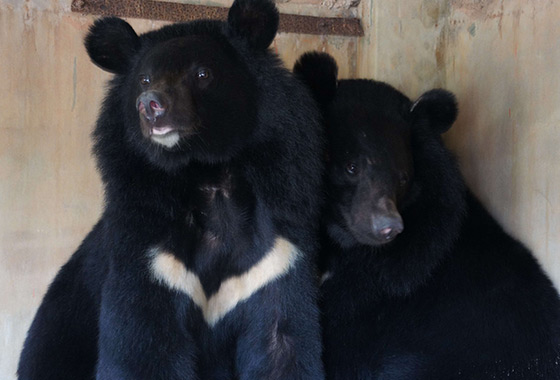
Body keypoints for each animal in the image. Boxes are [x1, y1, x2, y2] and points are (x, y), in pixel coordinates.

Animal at [17, 1, 326, 378]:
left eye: (203, 74)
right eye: (144, 80)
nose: (150, 105)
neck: (209, 175)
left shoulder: (274, 259)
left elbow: (281, 342)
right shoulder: (148, 257)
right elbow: (142, 347)